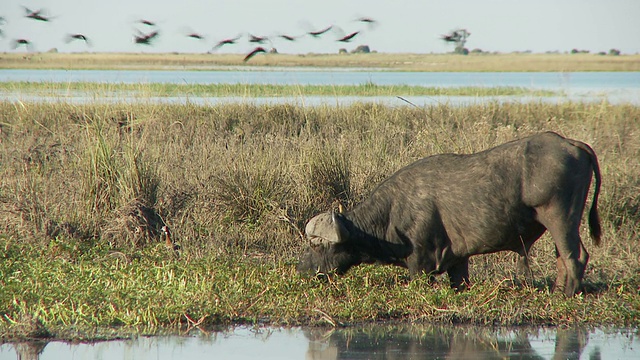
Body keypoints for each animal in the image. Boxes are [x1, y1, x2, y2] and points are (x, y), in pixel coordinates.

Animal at [298, 131, 604, 296]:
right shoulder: (458, 261)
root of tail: (570, 143)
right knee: (563, 257)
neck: (393, 211)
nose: (302, 270)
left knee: (575, 257)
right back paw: (557, 290)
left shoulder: (420, 265)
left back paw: (565, 295)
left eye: (317, 245)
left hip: (560, 217)